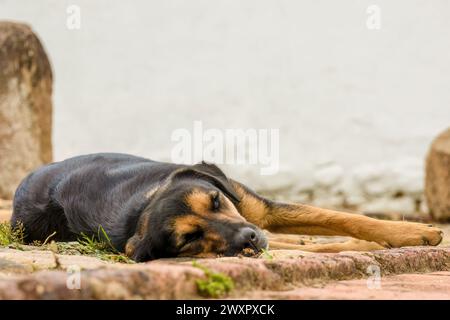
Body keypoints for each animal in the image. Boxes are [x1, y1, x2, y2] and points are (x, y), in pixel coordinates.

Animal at [10, 154, 442, 262]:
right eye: (190, 238)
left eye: (215, 201)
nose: (248, 237)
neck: (145, 203)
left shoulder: (258, 210)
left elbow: (341, 217)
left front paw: (412, 232)